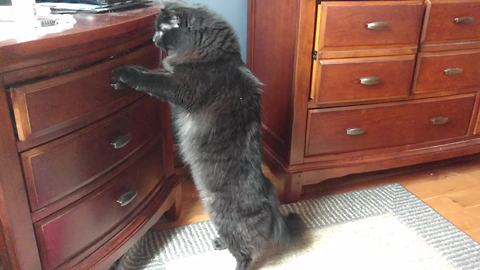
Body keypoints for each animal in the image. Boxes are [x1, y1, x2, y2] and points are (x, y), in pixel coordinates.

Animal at [111, 3, 306, 268]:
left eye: (161, 30)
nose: (152, 39)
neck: (216, 55)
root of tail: (269, 197)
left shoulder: (181, 87)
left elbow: (148, 77)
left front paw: (122, 74)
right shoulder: (172, 74)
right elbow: (148, 70)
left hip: (222, 216)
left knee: (246, 252)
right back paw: (219, 243)